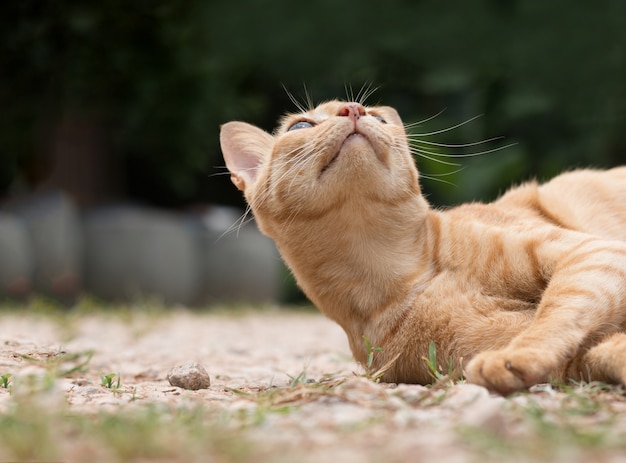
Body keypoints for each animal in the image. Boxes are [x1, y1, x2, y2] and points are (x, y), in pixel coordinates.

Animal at [218, 100, 624, 396]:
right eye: (300, 127)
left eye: (378, 117)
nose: (353, 108)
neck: (400, 272)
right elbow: (597, 349)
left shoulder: (594, 253)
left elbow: (554, 312)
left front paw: (516, 356)